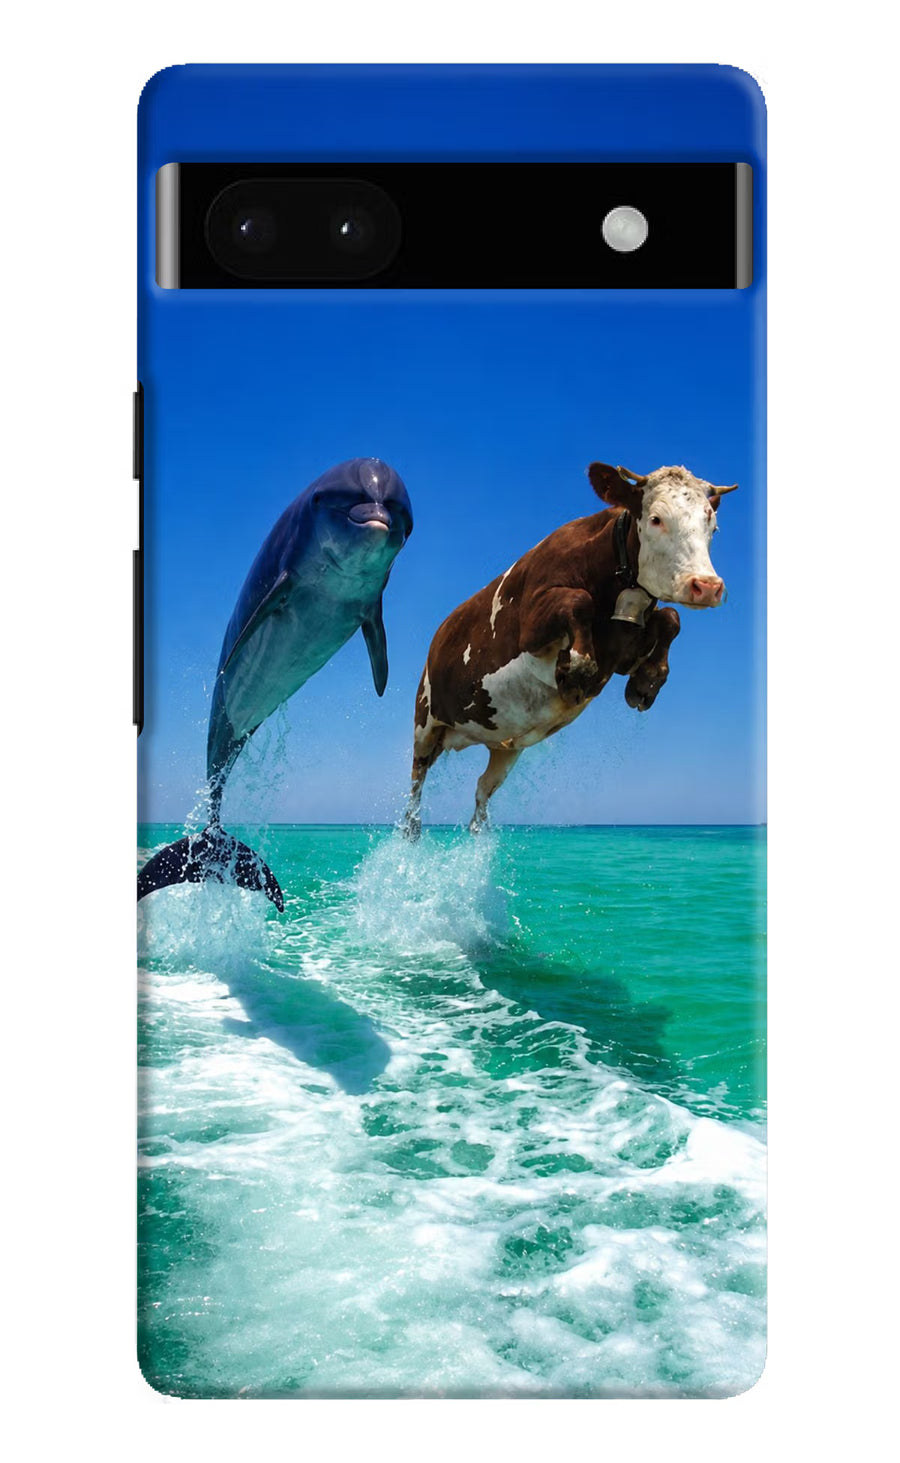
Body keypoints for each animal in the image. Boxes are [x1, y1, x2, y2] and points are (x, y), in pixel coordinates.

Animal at [403, 461, 737, 838]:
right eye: (656, 518)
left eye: (713, 524)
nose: (706, 586)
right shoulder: (531, 625)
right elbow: (579, 601)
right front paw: (576, 669)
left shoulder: (622, 651)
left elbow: (670, 617)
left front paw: (646, 682)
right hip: (425, 721)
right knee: (416, 782)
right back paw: (411, 829)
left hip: (505, 746)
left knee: (482, 790)